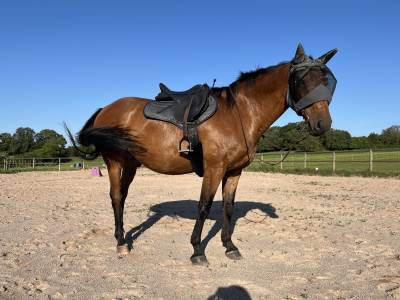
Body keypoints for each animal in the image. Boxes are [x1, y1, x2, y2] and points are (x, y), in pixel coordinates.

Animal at [68, 43, 338, 264]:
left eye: (328, 81)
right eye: (301, 80)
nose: (322, 124)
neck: (239, 113)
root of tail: (106, 108)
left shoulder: (234, 172)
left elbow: (228, 207)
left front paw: (229, 246)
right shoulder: (214, 169)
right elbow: (204, 206)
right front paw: (197, 250)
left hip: (131, 164)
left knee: (122, 197)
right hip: (114, 162)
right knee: (115, 197)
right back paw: (121, 243)